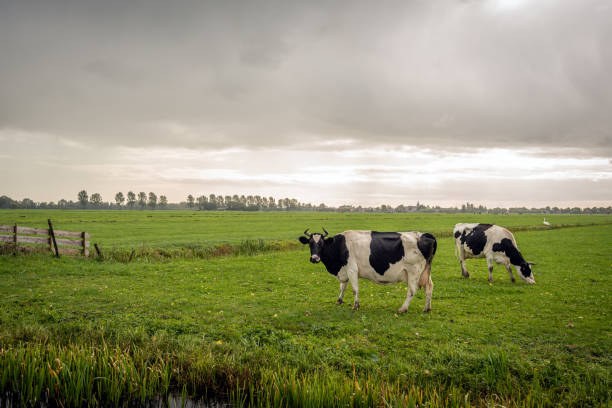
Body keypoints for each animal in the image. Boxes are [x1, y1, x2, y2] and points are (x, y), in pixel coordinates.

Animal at [298, 230, 438, 312]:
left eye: (321, 243)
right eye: (310, 243)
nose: (314, 258)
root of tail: (424, 234)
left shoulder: (352, 269)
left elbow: (354, 289)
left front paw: (356, 305)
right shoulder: (344, 270)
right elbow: (342, 287)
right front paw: (339, 301)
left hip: (413, 271)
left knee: (412, 290)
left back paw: (402, 309)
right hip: (425, 271)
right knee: (429, 286)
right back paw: (427, 308)